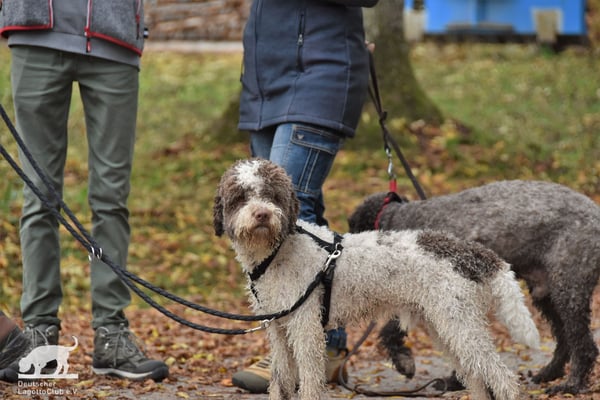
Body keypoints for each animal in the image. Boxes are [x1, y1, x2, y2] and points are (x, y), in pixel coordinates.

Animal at [213, 159, 540, 400]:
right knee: (475, 376)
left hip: (460, 323)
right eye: (241, 197)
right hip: (445, 325)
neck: (278, 251)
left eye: (272, 195)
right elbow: (280, 380)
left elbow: (309, 381)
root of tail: (471, 252)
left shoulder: (305, 328)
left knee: (503, 378)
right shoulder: (278, 329)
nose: (262, 215)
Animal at [348, 180, 600, 395]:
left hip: (568, 289)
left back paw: (572, 385)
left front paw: (407, 363)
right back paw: (550, 373)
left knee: (583, 345)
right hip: (546, 292)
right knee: (565, 339)